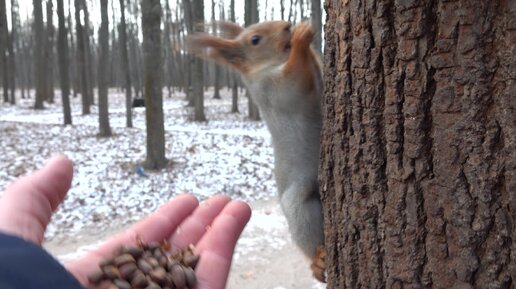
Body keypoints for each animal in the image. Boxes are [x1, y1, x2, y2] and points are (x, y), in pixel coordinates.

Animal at [187, 20, 326, 282]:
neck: (271, 65)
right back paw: (318, 261)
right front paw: (301, 38)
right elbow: (294, 81)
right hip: (298, 201)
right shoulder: (272, 90)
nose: (286, 25)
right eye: (255, 40)